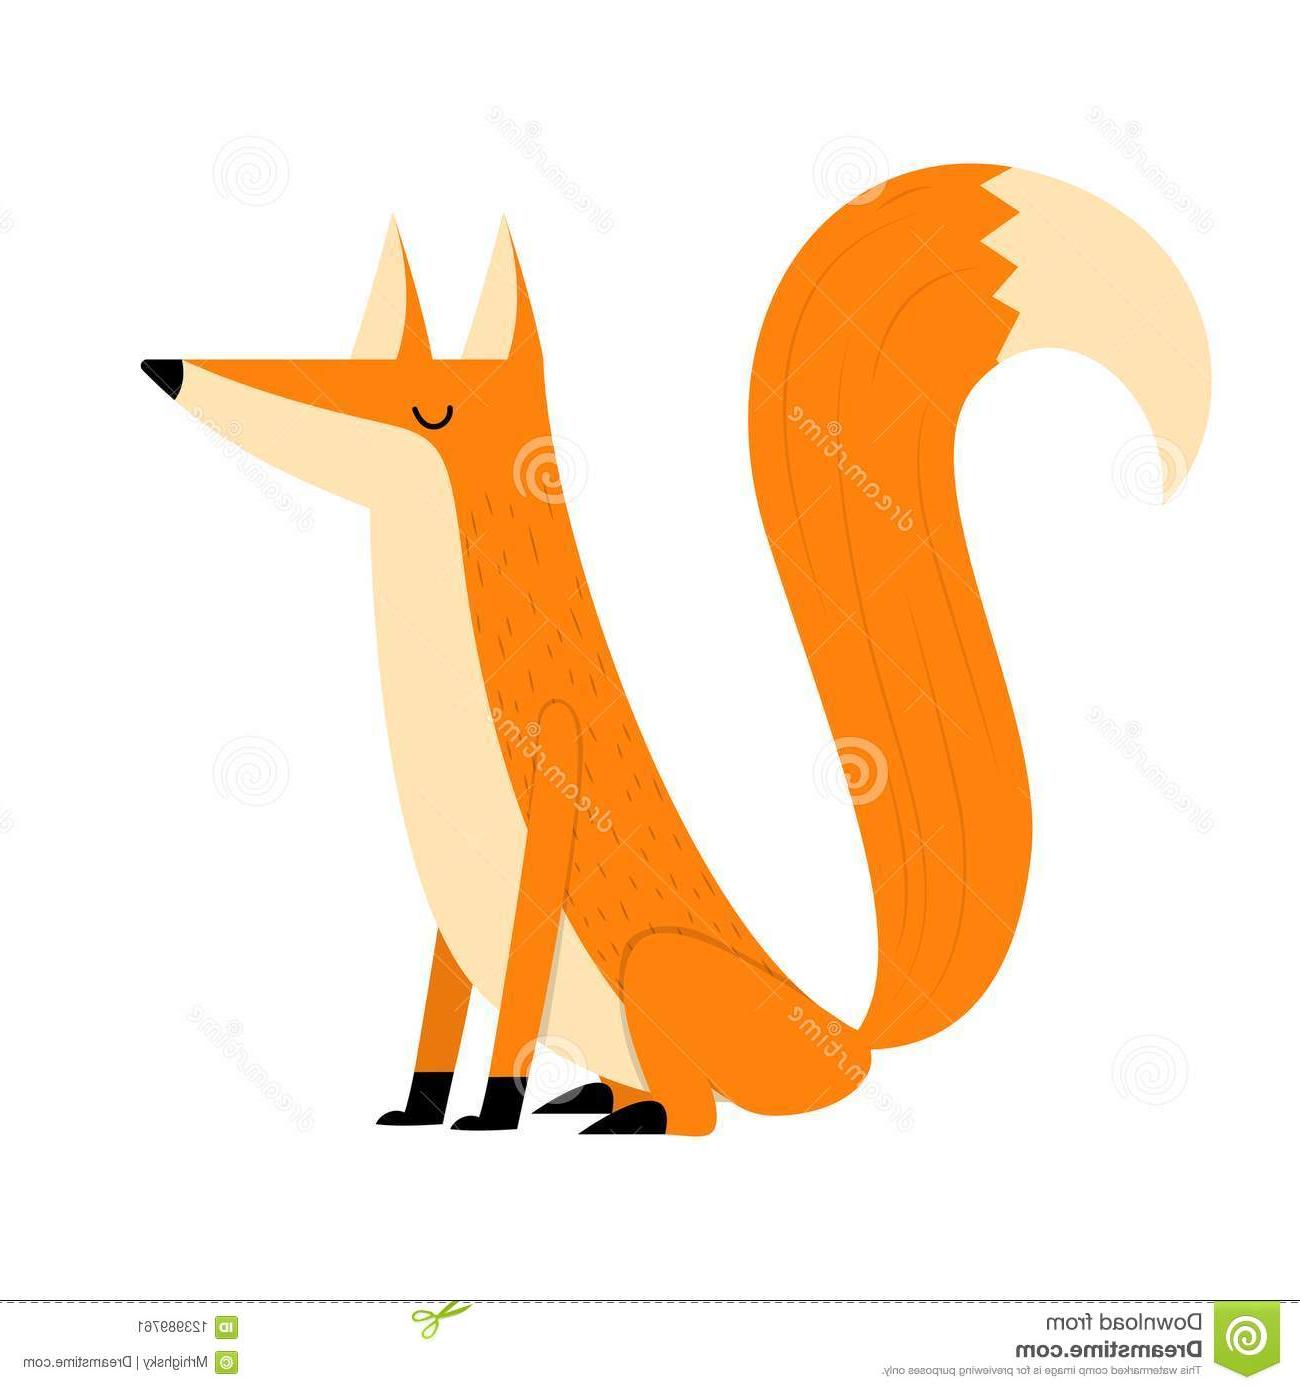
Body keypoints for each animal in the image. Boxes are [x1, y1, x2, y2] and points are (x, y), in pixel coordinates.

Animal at [142, 163, 1209, 1135]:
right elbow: (439, 1016)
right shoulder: (449, 893)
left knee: (697, 1109)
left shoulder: (554, 771)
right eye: (355, 357)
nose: (170, 369)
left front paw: (490, 1116)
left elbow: (514, 1003)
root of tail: (842, 1034)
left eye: (429, 409)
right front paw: (419, 1112)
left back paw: (635, 1117)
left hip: (656, 965)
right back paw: (594, 1098)